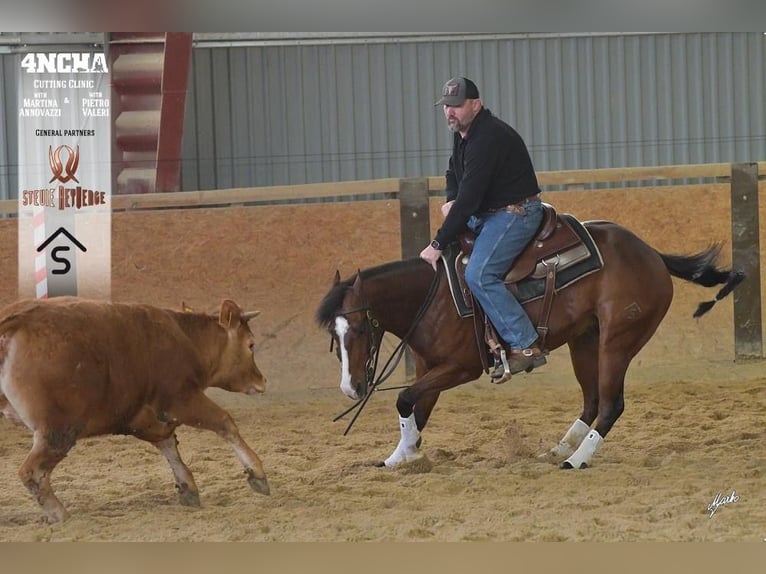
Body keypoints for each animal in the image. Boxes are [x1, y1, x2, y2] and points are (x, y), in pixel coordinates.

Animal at [0, 300, 272, 524]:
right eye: (250, 344)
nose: (263, 381)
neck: (187, 340)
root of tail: (17, 320)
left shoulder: (143, 417)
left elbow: (168, 444)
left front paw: (187, 487)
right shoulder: (181, 400)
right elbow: (224, 423)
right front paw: (257, 473)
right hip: (58, 431)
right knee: (32, 472)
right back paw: (60, 513)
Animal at [316, 218, 748, 470]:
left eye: (359, 329)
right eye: (333, 337)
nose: (350, 388)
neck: (434, 296)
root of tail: (651, 254)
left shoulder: (460, 368)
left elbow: (405, 398)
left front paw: (406, 453)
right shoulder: (428, 367)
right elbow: (416, 407)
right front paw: (401, 455)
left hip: (618, 340)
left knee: (611, 405)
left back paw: (577, 459)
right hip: (584, 340)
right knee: (592, 400)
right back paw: (560, 449)